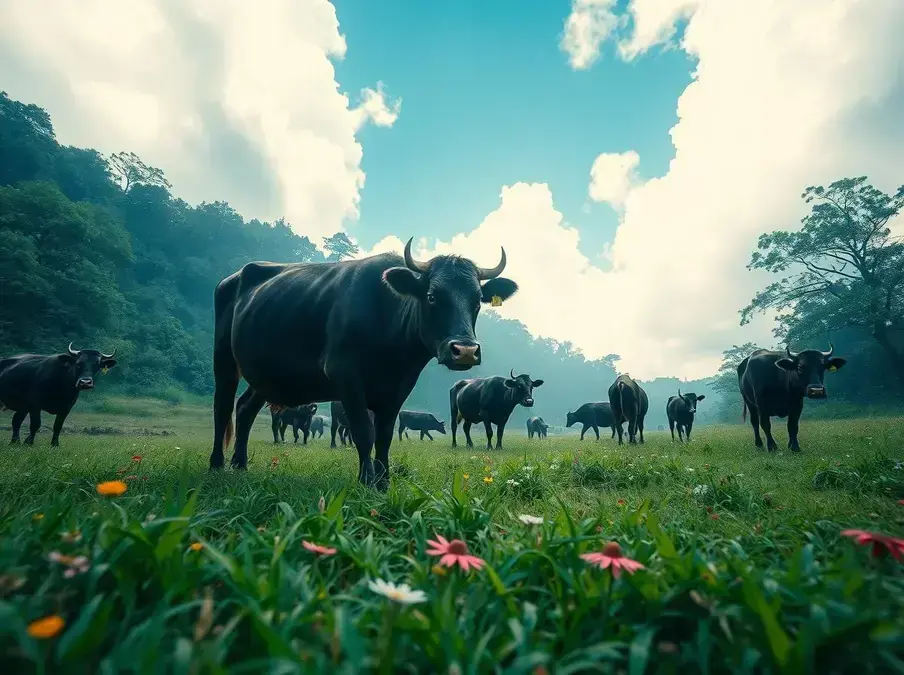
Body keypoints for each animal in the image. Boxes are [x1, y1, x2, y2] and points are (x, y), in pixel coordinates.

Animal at [207, 236, 516, 486]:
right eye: (431, 296)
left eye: (477, 300)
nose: (465, 350)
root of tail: (232, 278)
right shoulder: (345, 376)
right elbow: (364, 433)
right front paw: (367, 480)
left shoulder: (399, 387)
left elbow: (384, 436)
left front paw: (383, 481)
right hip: (224, 358)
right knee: (222, 407)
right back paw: (216, 464)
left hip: (266, 375)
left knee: (245, 408)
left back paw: (240, 464)